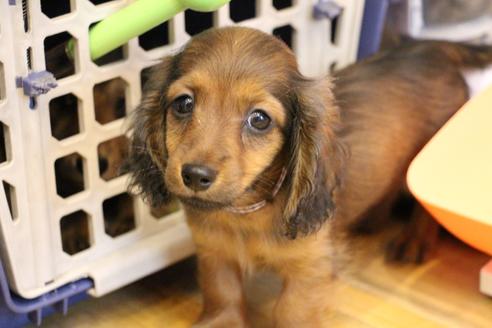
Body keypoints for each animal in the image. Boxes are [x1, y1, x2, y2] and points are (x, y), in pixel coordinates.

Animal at [125, 26, 492, 326]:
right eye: (183, 103)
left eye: (259, 119)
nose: (195, 175)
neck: (248, 211)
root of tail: (430, 48)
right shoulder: (214, 253)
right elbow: (222, 296)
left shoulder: (311, 268)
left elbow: (291, 311)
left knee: (422, 206)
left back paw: (414, 240)